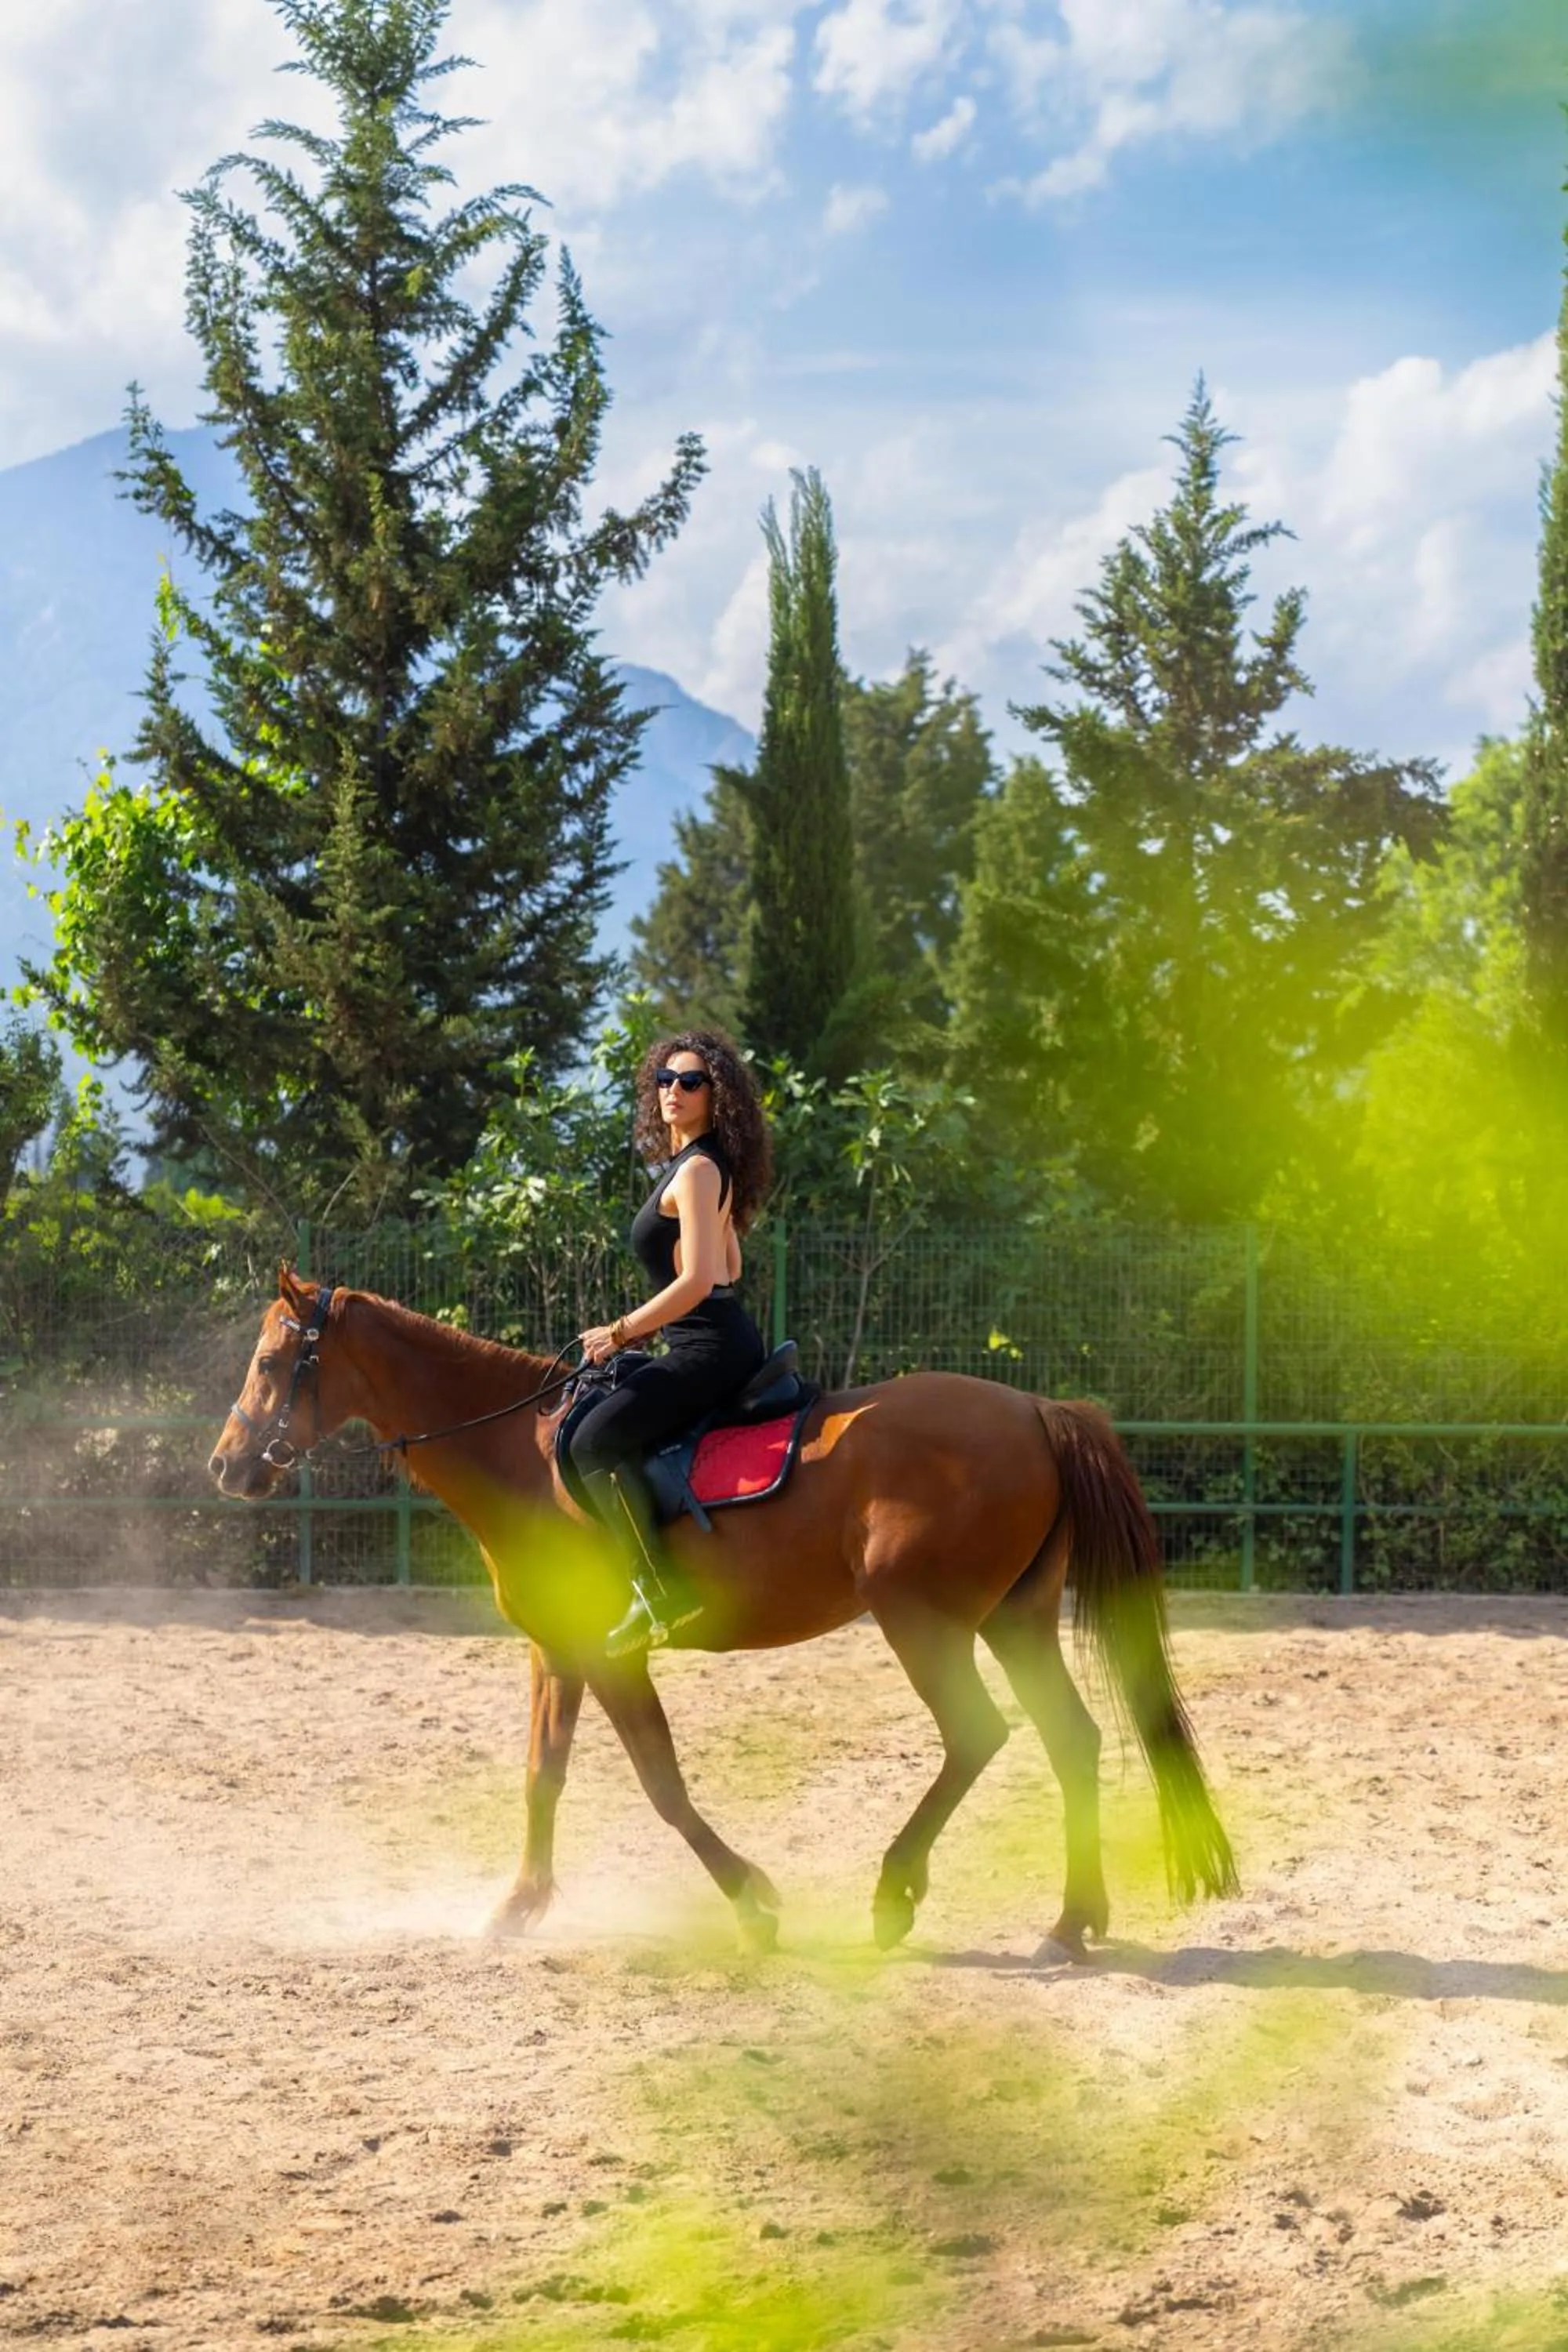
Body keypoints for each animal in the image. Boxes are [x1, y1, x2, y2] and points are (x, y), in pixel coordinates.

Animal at [209, 1267, 1238, 1957]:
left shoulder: (614, 1656)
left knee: (980, 1735)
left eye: (269, 1360)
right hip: (1011, 1622)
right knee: (1071, 1740)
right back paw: (1070, 1922)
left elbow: (662, 1785)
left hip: (923, 1622)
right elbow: (543, 1776)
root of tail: (1032, 1410)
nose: (226, 1465)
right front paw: (517, 1906)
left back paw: (895, 1893)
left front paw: (751, 1901)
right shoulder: (557, 1651)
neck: (522, 1452)